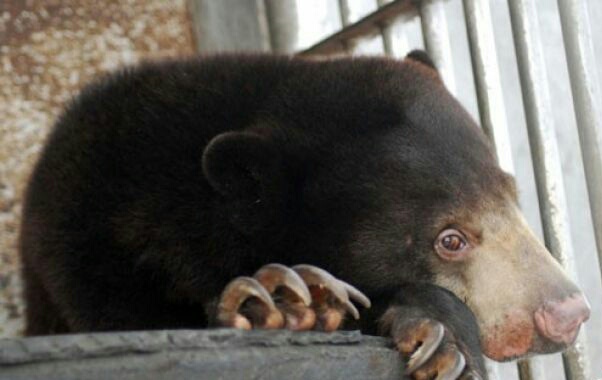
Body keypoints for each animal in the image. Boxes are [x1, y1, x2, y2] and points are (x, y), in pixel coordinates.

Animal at [18, 51, 584, 380]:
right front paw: (282, 301)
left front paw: (442, 337)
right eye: (450, 239)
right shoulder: (87, 254)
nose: (567, 314)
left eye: (512, 195)